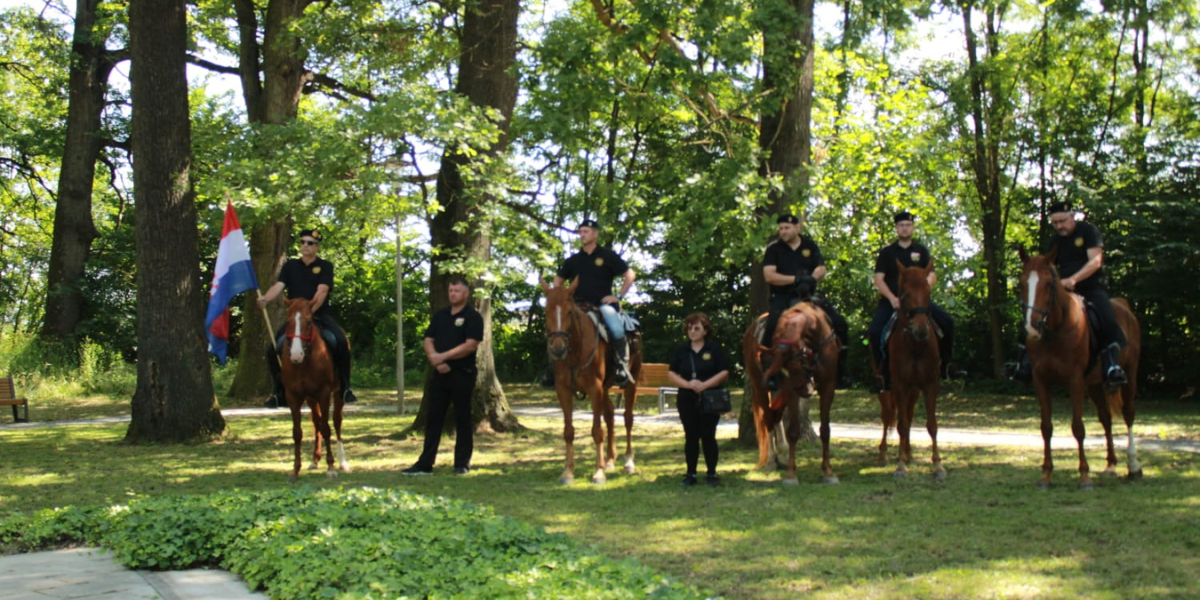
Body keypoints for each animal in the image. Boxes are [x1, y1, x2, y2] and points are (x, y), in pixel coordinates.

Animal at [282, 297, 350, 480]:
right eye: (288, 321)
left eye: (309, 322)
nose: (296, 355)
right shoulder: (293, 396)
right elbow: (297, 432)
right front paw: (295, 469)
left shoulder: (324, 393)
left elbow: (327, 428)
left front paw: (331, 467)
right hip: (311, 399)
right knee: (317, 421)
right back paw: (315, 460)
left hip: (338, 393)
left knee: (336, 422)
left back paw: (342, 462)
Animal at [542, 279, 643, 482]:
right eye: (546, 310)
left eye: (569, 311)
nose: (558, 348)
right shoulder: (563, 389)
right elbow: (568, 431)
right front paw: (568, 471)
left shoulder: (594, 388)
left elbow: (597, 431)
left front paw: (598, 472)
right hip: (605, 388)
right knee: (610, 414)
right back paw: (610, 460)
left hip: (631, 382)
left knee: (628, 418)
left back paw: (628, 461)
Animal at [739, 302, 844, 484]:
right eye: (786, 368)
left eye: (800, 361)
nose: (804, 389)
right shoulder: (790, 389)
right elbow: (793, 430)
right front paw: (791, 475)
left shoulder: (828, 386)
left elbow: (825, 430)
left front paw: (828, 472)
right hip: (761, 387)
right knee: (768, 419)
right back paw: (771, 461)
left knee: (776, 416)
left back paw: (782, 455)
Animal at [878, 260, 940, 480]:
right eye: (904, 295)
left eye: (928, 292)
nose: (920, 330)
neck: (915, 346)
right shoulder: (899, 385)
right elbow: (901, 425)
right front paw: (900, 466)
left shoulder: (930, 384)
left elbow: (931, 424)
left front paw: (938, 465)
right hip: (886, 388)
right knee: (888, 416)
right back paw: (885, 455)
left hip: (913, 391)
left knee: (909, 415)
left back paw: (908, 453)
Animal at [1022, 248, 1142, 487]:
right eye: (1022, 283)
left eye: (1049, 284)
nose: (1032, 327)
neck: (1057, 328)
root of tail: (1124, 307)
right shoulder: (1041, 380)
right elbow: (1046, 427)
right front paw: (1046, 474)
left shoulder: (1075, 380)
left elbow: (1078, 427)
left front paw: (1084, 476)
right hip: (1095, 383)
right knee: (1106, 418)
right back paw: (1111, 465)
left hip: (1130, 373)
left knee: (1128, 413)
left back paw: (1133, 467)